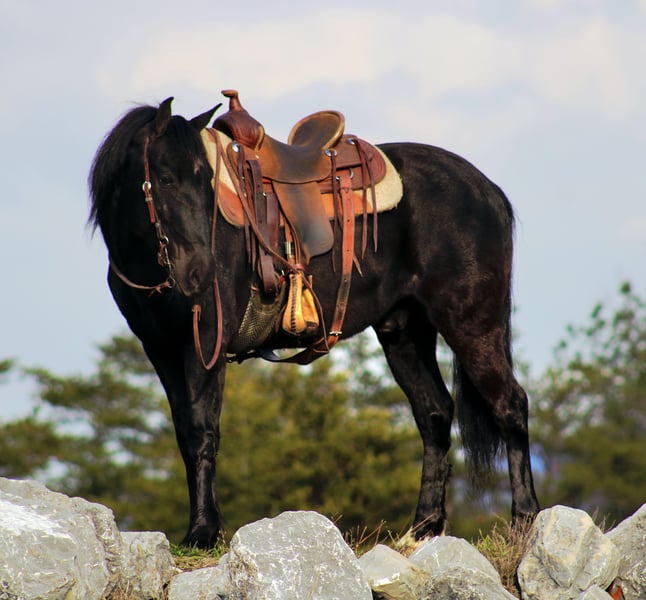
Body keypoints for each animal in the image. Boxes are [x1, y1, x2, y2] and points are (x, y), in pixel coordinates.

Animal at [89, 95, 539, 548]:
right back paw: (423, 527)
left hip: (472, 325)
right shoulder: (160, 349)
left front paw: (203, 531)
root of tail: (487, 190)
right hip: (405, 332)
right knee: (435, 414)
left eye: (205, 181)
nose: (199, 272)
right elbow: (184, 432)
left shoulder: (205, 343)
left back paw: (524, 520)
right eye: (164, 179)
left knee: (510, 405)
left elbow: (202, 431)